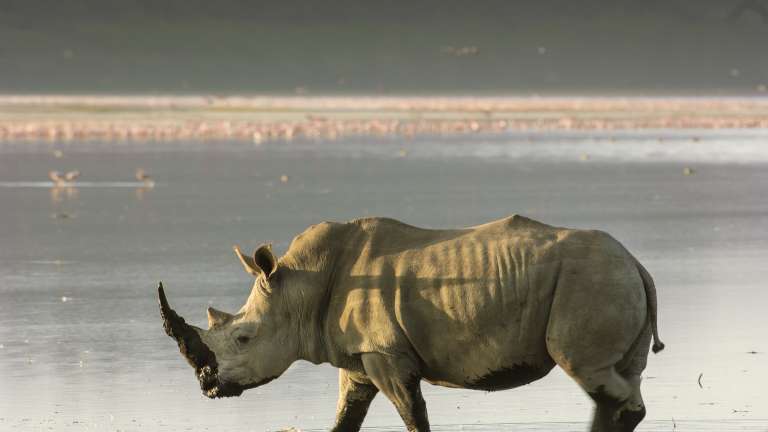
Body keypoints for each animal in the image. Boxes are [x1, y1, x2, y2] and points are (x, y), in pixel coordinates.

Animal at [158, 215, 664, 432]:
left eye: (243, 338)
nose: (207, 385)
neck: (299, 286)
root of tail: (637, 263)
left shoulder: (386, 353)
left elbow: (412, 417)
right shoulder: (359, 358)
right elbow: (344, 420)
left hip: (591, 282)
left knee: (588, 370)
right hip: (610, 279)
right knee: (617, 379)